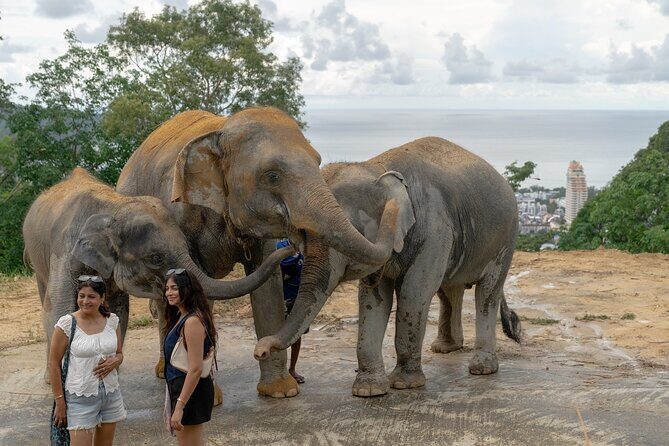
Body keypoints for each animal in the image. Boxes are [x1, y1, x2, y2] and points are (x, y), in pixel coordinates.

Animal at [22, 167, 292, 385]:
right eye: (156, 258)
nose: (291, 248)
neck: (115, 207)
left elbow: (117, 314)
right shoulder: (64, 254)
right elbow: (59, 313)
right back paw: (48, 379)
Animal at [116, 107, 400, 398]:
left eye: (318, 161)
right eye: (272, 175)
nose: (296, 243)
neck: (221, 130)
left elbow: (267, 288)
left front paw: (281, 392)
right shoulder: (179, 217)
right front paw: (210, 396)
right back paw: (164, 371)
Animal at [255, 136, 522, 397]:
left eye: (342, 231)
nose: (259, 350)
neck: (377, 168)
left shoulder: (435, 230)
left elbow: (414, 293)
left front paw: (405, 384)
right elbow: (372, 298)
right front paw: (368, 390)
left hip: (505, 238)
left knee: (487, 293)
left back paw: (482, 368)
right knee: (449, 290)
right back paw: (445, 348)